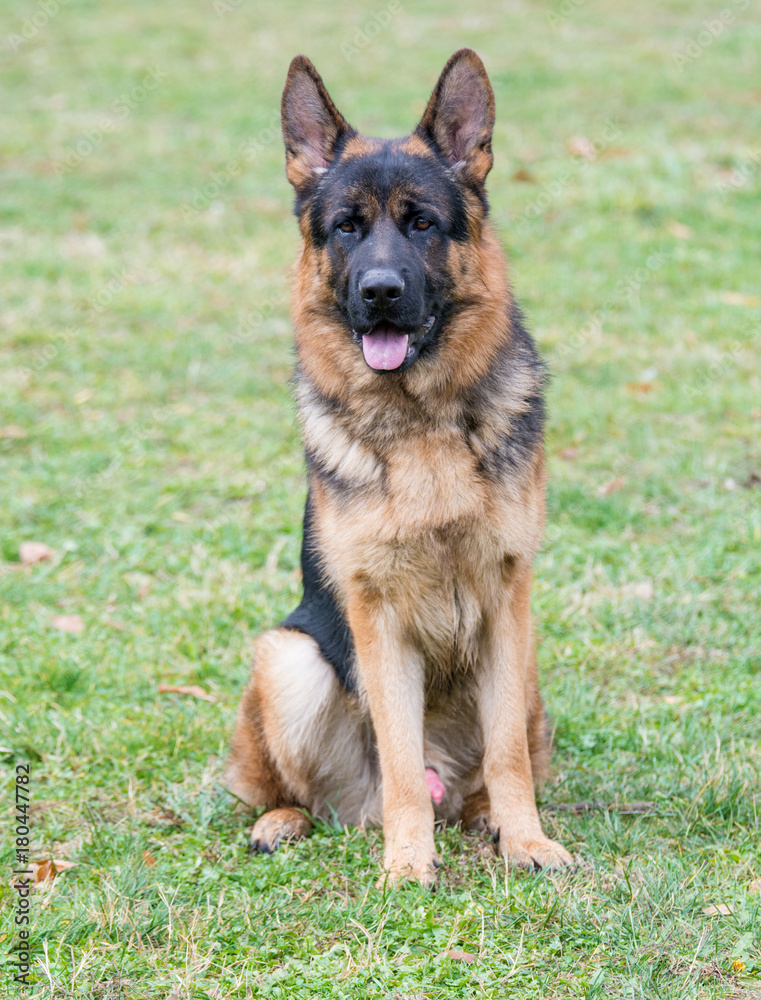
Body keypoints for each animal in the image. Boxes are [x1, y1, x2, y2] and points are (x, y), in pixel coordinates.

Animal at [226, 50, 568, 888]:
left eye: (421, 223)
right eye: (346, 227)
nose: (380, 292)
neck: (421, 427)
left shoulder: (507, 598)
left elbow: (507, 755)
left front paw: (526, 840)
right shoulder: (375, 614)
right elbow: (401, 760)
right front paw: (408, 865)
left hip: (530, 674)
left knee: (482, 776)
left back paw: (485, 821)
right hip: (287, 658)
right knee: (304, 794)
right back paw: (283, 823)